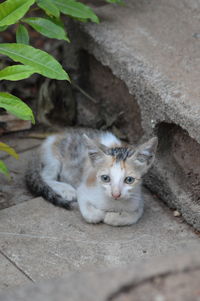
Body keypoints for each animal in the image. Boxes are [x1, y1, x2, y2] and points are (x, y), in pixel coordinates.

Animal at [26, 127, 158, 226]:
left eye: (129, 180)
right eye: (105, 178)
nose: (116, 194)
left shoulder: (138, 200)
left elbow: (135, 215)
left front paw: (114, 217)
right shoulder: (84, 189)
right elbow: (90, 213)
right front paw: (99, 214)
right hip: (53, 157)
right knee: (46, 176)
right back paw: (66, 189)